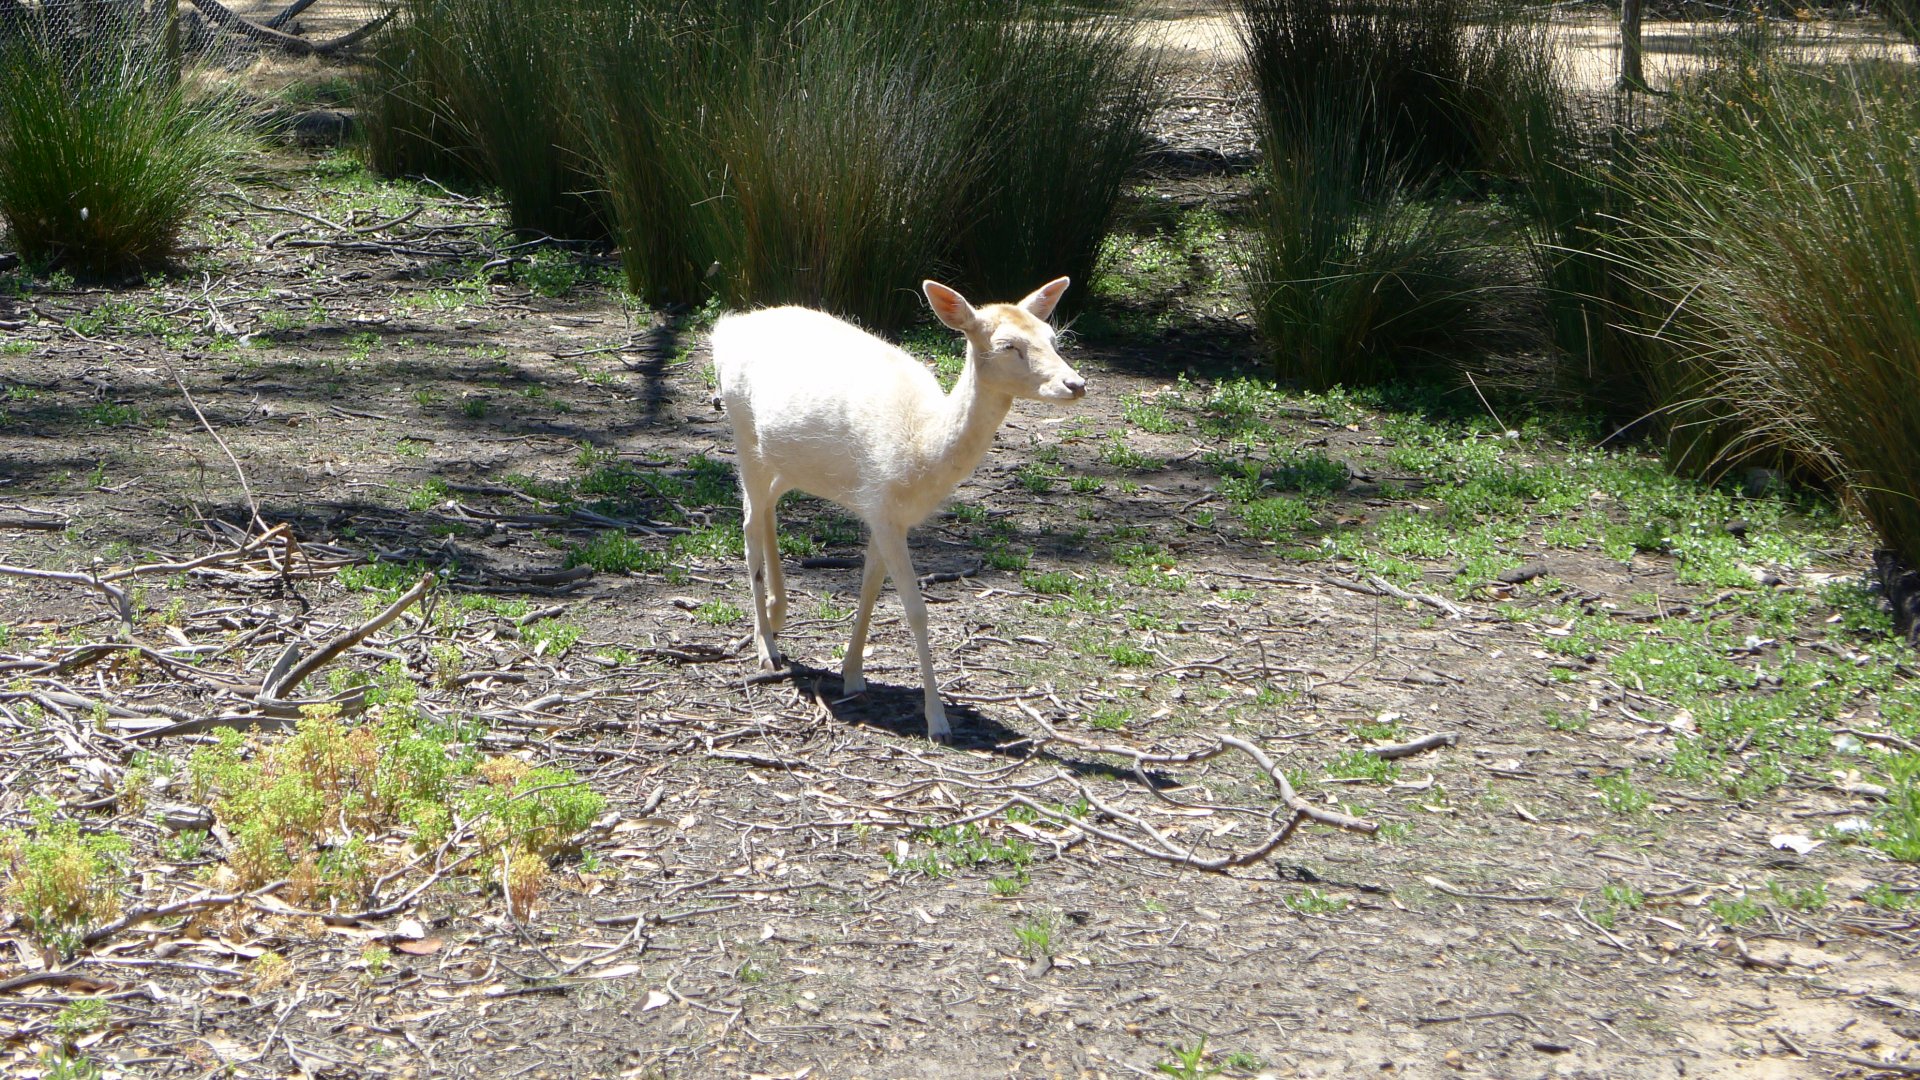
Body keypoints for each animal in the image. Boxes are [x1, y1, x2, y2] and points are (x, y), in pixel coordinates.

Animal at [712, 277, 1086, 742]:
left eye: (1053, 338)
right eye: (1007, 346)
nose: (1075, 384)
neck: (922, 450)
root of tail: (725, 329)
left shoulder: (883, 512)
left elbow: (870, 588)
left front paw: (853, 675)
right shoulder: (884, 508)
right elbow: (916, 610)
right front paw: (938, 721)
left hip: (789, 460)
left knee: (767, 507)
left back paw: (778, 610)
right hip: (743, 432)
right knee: (748, 525)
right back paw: (767, 647)